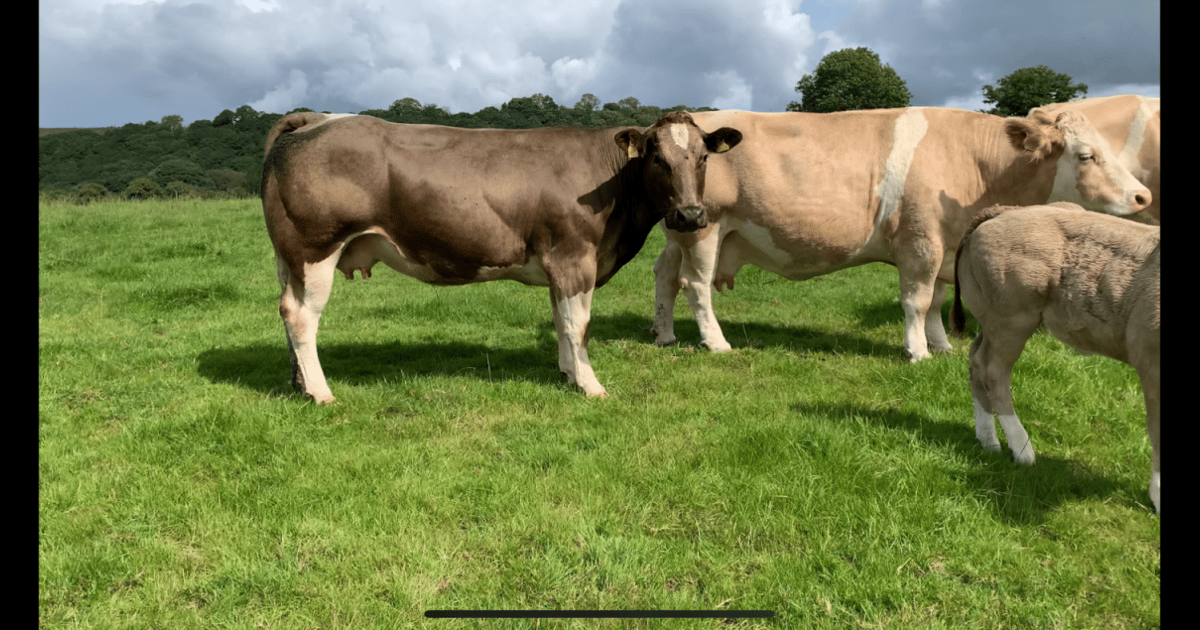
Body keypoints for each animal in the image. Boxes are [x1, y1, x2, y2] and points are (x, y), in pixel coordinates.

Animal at [261, 111, 742, 403]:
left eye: (702, 157)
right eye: (657, 158)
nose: (691, 214)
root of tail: (316, 118)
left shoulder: (557, 265)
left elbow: (561, 322)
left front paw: (568, 374)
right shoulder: (574, 258)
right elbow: (579, 324)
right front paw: (590, 385)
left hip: (290, 261)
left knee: (287, 312)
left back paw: (299, 384)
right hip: (314, 249)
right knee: (302, 318)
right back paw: (321, 392)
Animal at [649, 107, 1152, 361]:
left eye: (1108, 147)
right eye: (1086, 155)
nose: (1143, 196)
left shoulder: (945, 246)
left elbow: (938, 301)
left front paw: (942, 345)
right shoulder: (921, 240)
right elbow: (918, 300)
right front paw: (918, 351)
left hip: (681, 228)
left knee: (664, 275)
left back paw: (664, 334)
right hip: (706, 226)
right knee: (695, 284)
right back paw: (716, 343)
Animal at [950, 202, 1160, 514]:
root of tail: (1004, 210)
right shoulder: (1150, 357)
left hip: (990, 316)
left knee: (976, 360)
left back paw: (988, 438)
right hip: (1012, 317)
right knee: (992, 371)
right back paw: (1021, 447)